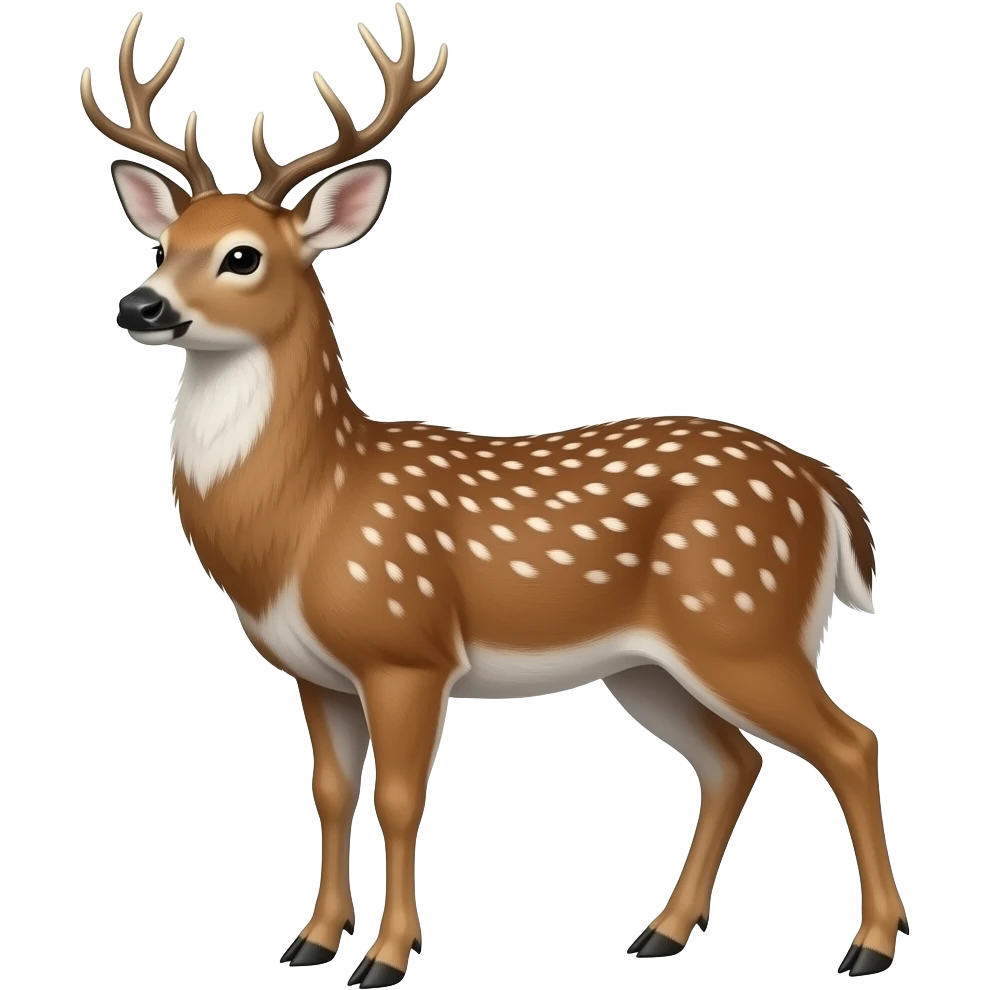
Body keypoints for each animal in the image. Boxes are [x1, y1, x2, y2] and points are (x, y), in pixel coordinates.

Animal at [80, 6, 905, 984]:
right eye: (164, 247)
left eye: (242, 256)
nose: (141, 306)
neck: (308, 518)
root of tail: (823, 485)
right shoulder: (316, 672)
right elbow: (330, 792)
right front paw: (311, 942)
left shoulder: (407, 648)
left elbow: (399, 798)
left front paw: (387, 956)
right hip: (650, 663)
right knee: (734, 762)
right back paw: (661, 932)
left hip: (745, 622)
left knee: (850, 743)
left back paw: (868, 945)